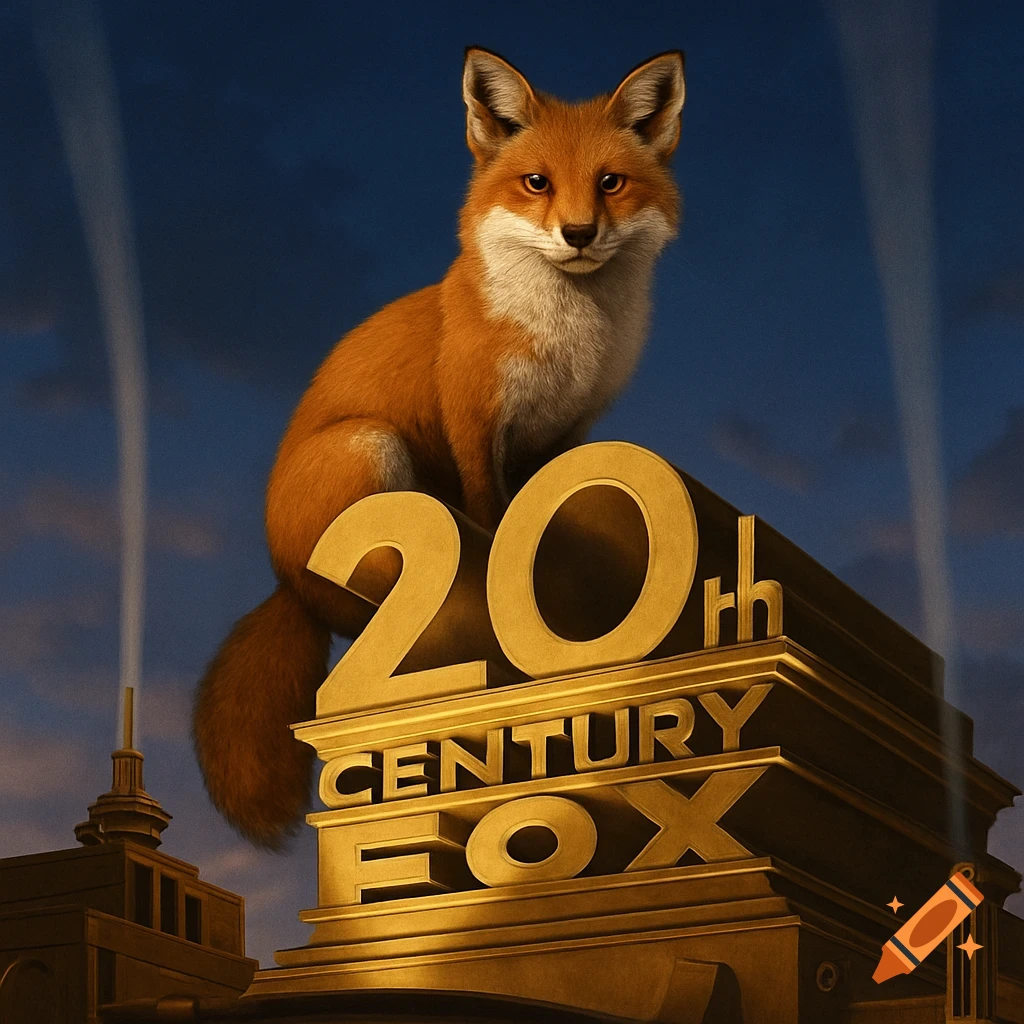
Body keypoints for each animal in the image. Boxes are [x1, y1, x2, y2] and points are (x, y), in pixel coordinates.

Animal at [193, 46, 687, 848]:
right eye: (537, 183)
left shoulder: (570, 429)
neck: (568, 341)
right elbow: (493, 510)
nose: (579, 233)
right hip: (370, 445)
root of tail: (281, 580)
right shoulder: (474, 420)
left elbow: (543, 503)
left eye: (610, 182)